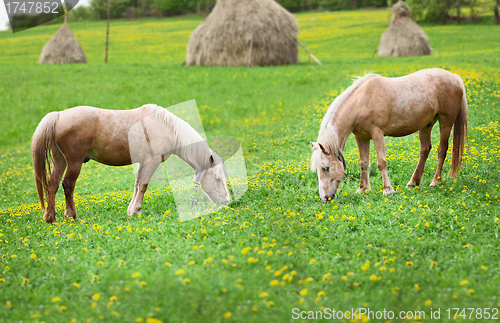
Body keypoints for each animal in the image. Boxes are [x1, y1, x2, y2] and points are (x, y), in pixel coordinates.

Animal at [32, 104, 231, 223]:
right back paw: (71, 215)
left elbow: (136, 185)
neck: (168, 128)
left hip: (60, 161)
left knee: (52, 184)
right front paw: (136, 210)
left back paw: (50, 217)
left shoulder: (141, 162)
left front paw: (131, 210)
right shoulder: (152, 162)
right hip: (74, 162)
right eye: (217, 179)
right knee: (67, 185)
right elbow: (143, 185)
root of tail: (58, 115)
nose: (226, 201)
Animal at [310, 69, 466, 202]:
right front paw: (363, 189)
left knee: (442, 150)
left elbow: (381, 162)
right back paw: (413, 182)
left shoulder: (377, 134)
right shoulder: (361, 137)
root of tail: (455, 77)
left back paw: (435, 181)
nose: (325, 198)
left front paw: (388, 189)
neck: (361, 102)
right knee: (425, 150)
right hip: (426, 125)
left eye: (326, 168)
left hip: (446, 121)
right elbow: (363, 162)